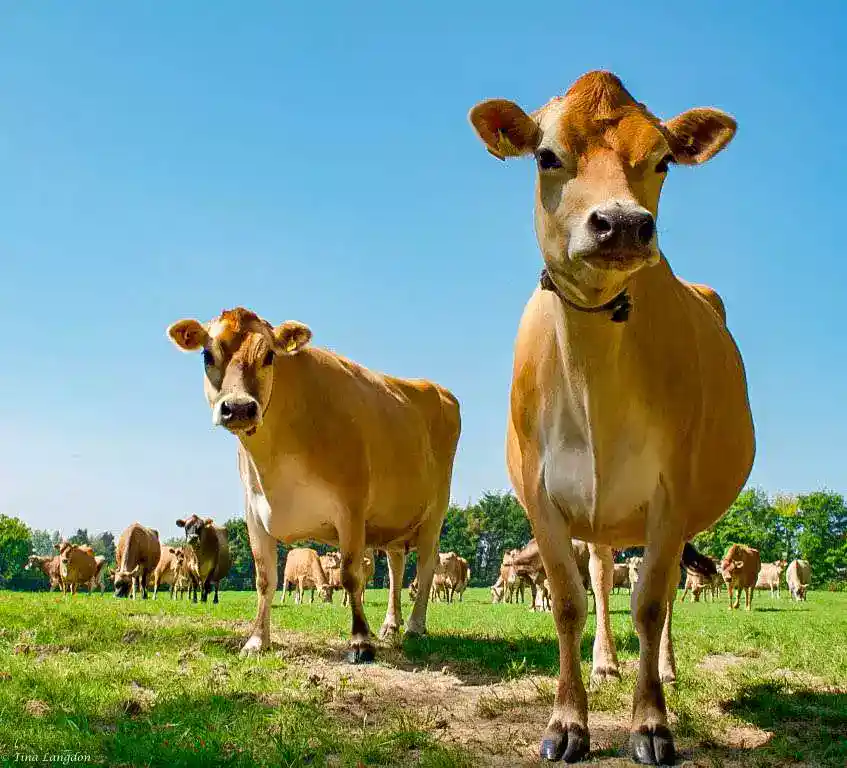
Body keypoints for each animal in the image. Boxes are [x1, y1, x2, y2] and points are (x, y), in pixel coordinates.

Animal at [168, 304, 460, 660]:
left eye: (269, 356)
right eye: (207, 355)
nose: (238, 408)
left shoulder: (351, 508)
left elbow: (350, 576)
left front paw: (360, 641)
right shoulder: (255, 514)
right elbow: (264, 579)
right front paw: (257, 640)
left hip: (435, 512)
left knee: (426, 566)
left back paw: (416, 626)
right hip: (395, 520)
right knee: (396, 567)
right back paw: (392, 625)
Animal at [470, 72, 756, 760]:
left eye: (663, 160)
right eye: (546, 156)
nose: (623, 223)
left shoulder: (673, 492)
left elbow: (650, 604)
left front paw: (650, 722)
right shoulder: (542, 499)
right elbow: (568, 605)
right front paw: (567, 722)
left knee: (665, 595)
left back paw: (667, 669)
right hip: (598, 518)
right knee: (602, 579)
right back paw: (605, 662)